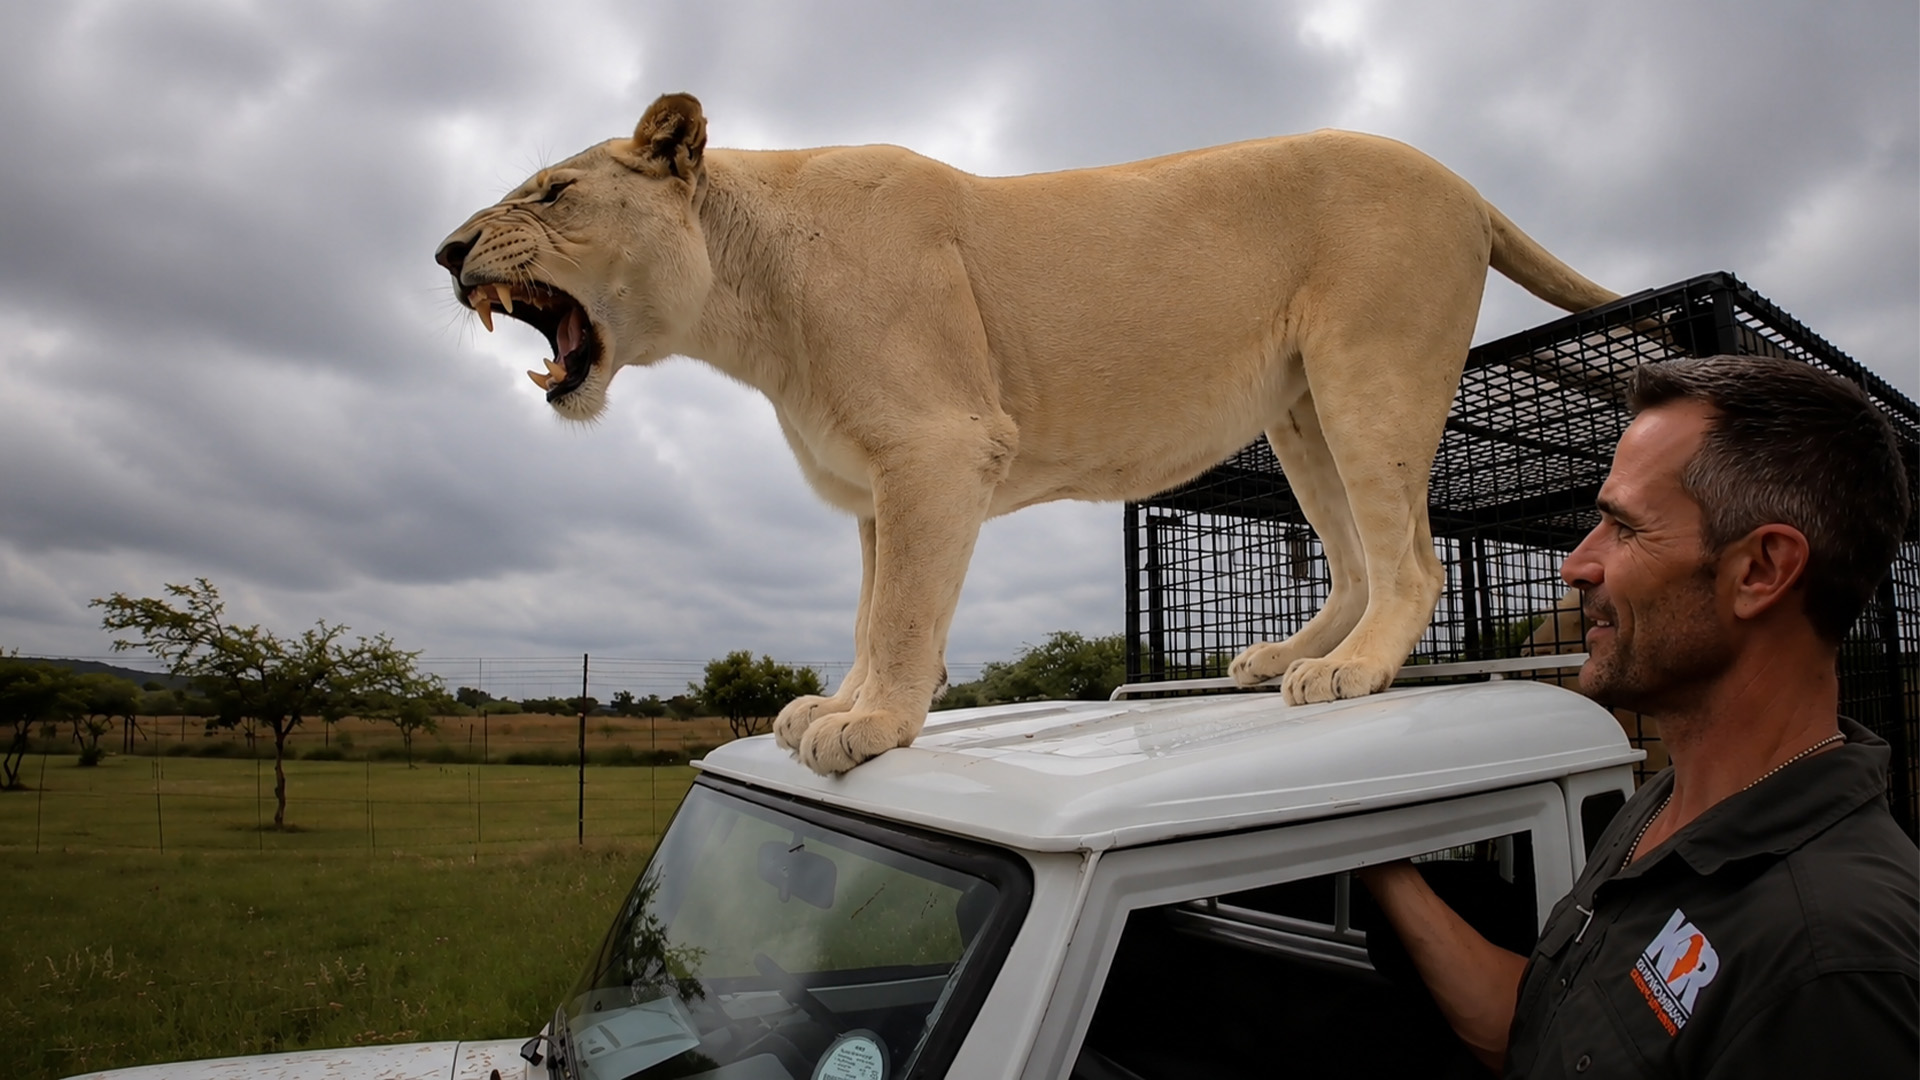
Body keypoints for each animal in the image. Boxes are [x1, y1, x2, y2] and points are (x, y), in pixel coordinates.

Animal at [436, 92, 1620, 774]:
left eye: (553, 190)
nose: (446, 251)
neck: (744, 297)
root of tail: (1466, 185)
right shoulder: (876, 486)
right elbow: (869, 611)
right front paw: (839, 704)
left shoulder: (938, 446)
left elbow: (903, 614)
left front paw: (871, 728)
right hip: (1301, 411)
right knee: (1359, 558)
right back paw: (1290, 656)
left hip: (1369, 370)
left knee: (1411, 561)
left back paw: (1352, 674)